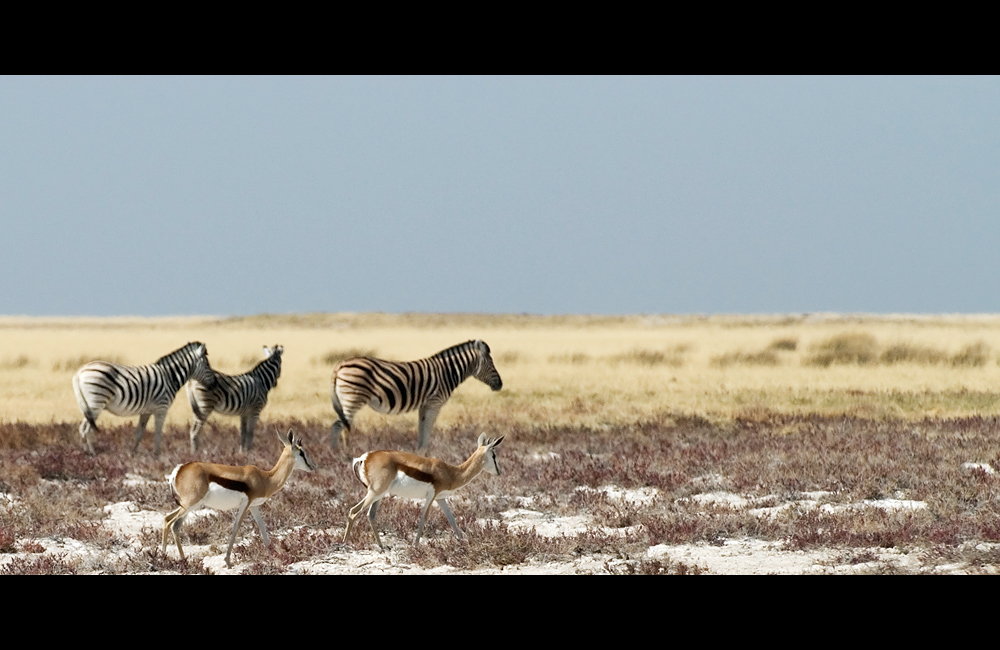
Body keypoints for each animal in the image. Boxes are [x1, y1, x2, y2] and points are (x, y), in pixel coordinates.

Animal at [72, 340, 213, 456]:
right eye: (207, 365)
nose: (214, 384)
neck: (170, 377)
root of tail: (79, 372)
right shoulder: (161, 408)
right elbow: (158, 433)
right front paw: (157, 455)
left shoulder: (146, 411)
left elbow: (139, 433)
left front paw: (133, 453)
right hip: (96, 404)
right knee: (86, 429)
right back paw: (92, 453)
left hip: (88, 406)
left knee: (82, 428)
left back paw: (85, 452)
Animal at [332, 340, 504, 450]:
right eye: (490, 363)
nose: (500, 384)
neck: (447, 372)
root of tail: (339, 365)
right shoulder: (434, 404)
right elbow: (427, 432)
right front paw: (425, 457)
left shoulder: (424, 406)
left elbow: (421, 432)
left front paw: (418, 454)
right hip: (352, 398)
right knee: (339, 425)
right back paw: (344, 454)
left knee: (340, 425)